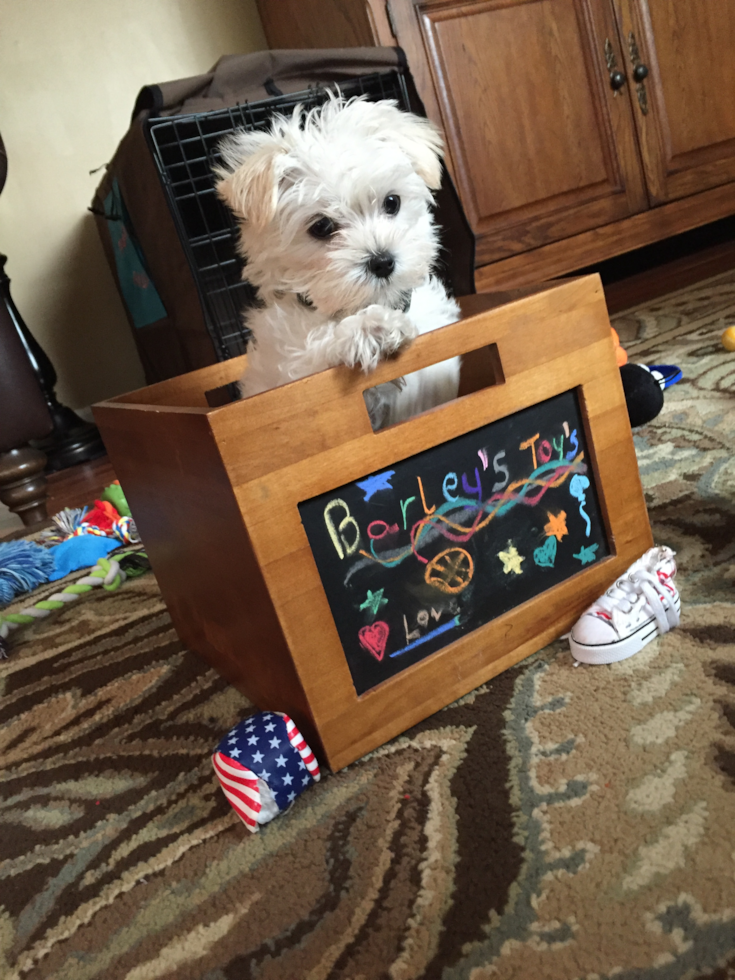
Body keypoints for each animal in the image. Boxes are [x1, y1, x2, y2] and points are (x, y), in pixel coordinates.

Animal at [216, 96, 462, 428]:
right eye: (321, 226)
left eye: (392, 202)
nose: (382, 261)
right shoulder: (288, 378)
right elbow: (312, 355)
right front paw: (372, 329)